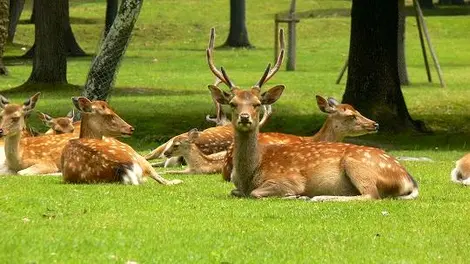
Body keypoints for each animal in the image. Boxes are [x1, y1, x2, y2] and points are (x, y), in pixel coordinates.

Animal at [206, 27, 418, 201]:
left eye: (257, 104)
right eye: (233, 104)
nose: (245, 117)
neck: (249, 175)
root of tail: (409, 179)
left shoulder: (291, 179)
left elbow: (256, 193)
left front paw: (294, 196)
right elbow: (234, 191)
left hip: (357, 165)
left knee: (370, 195)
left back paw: (318, 197)